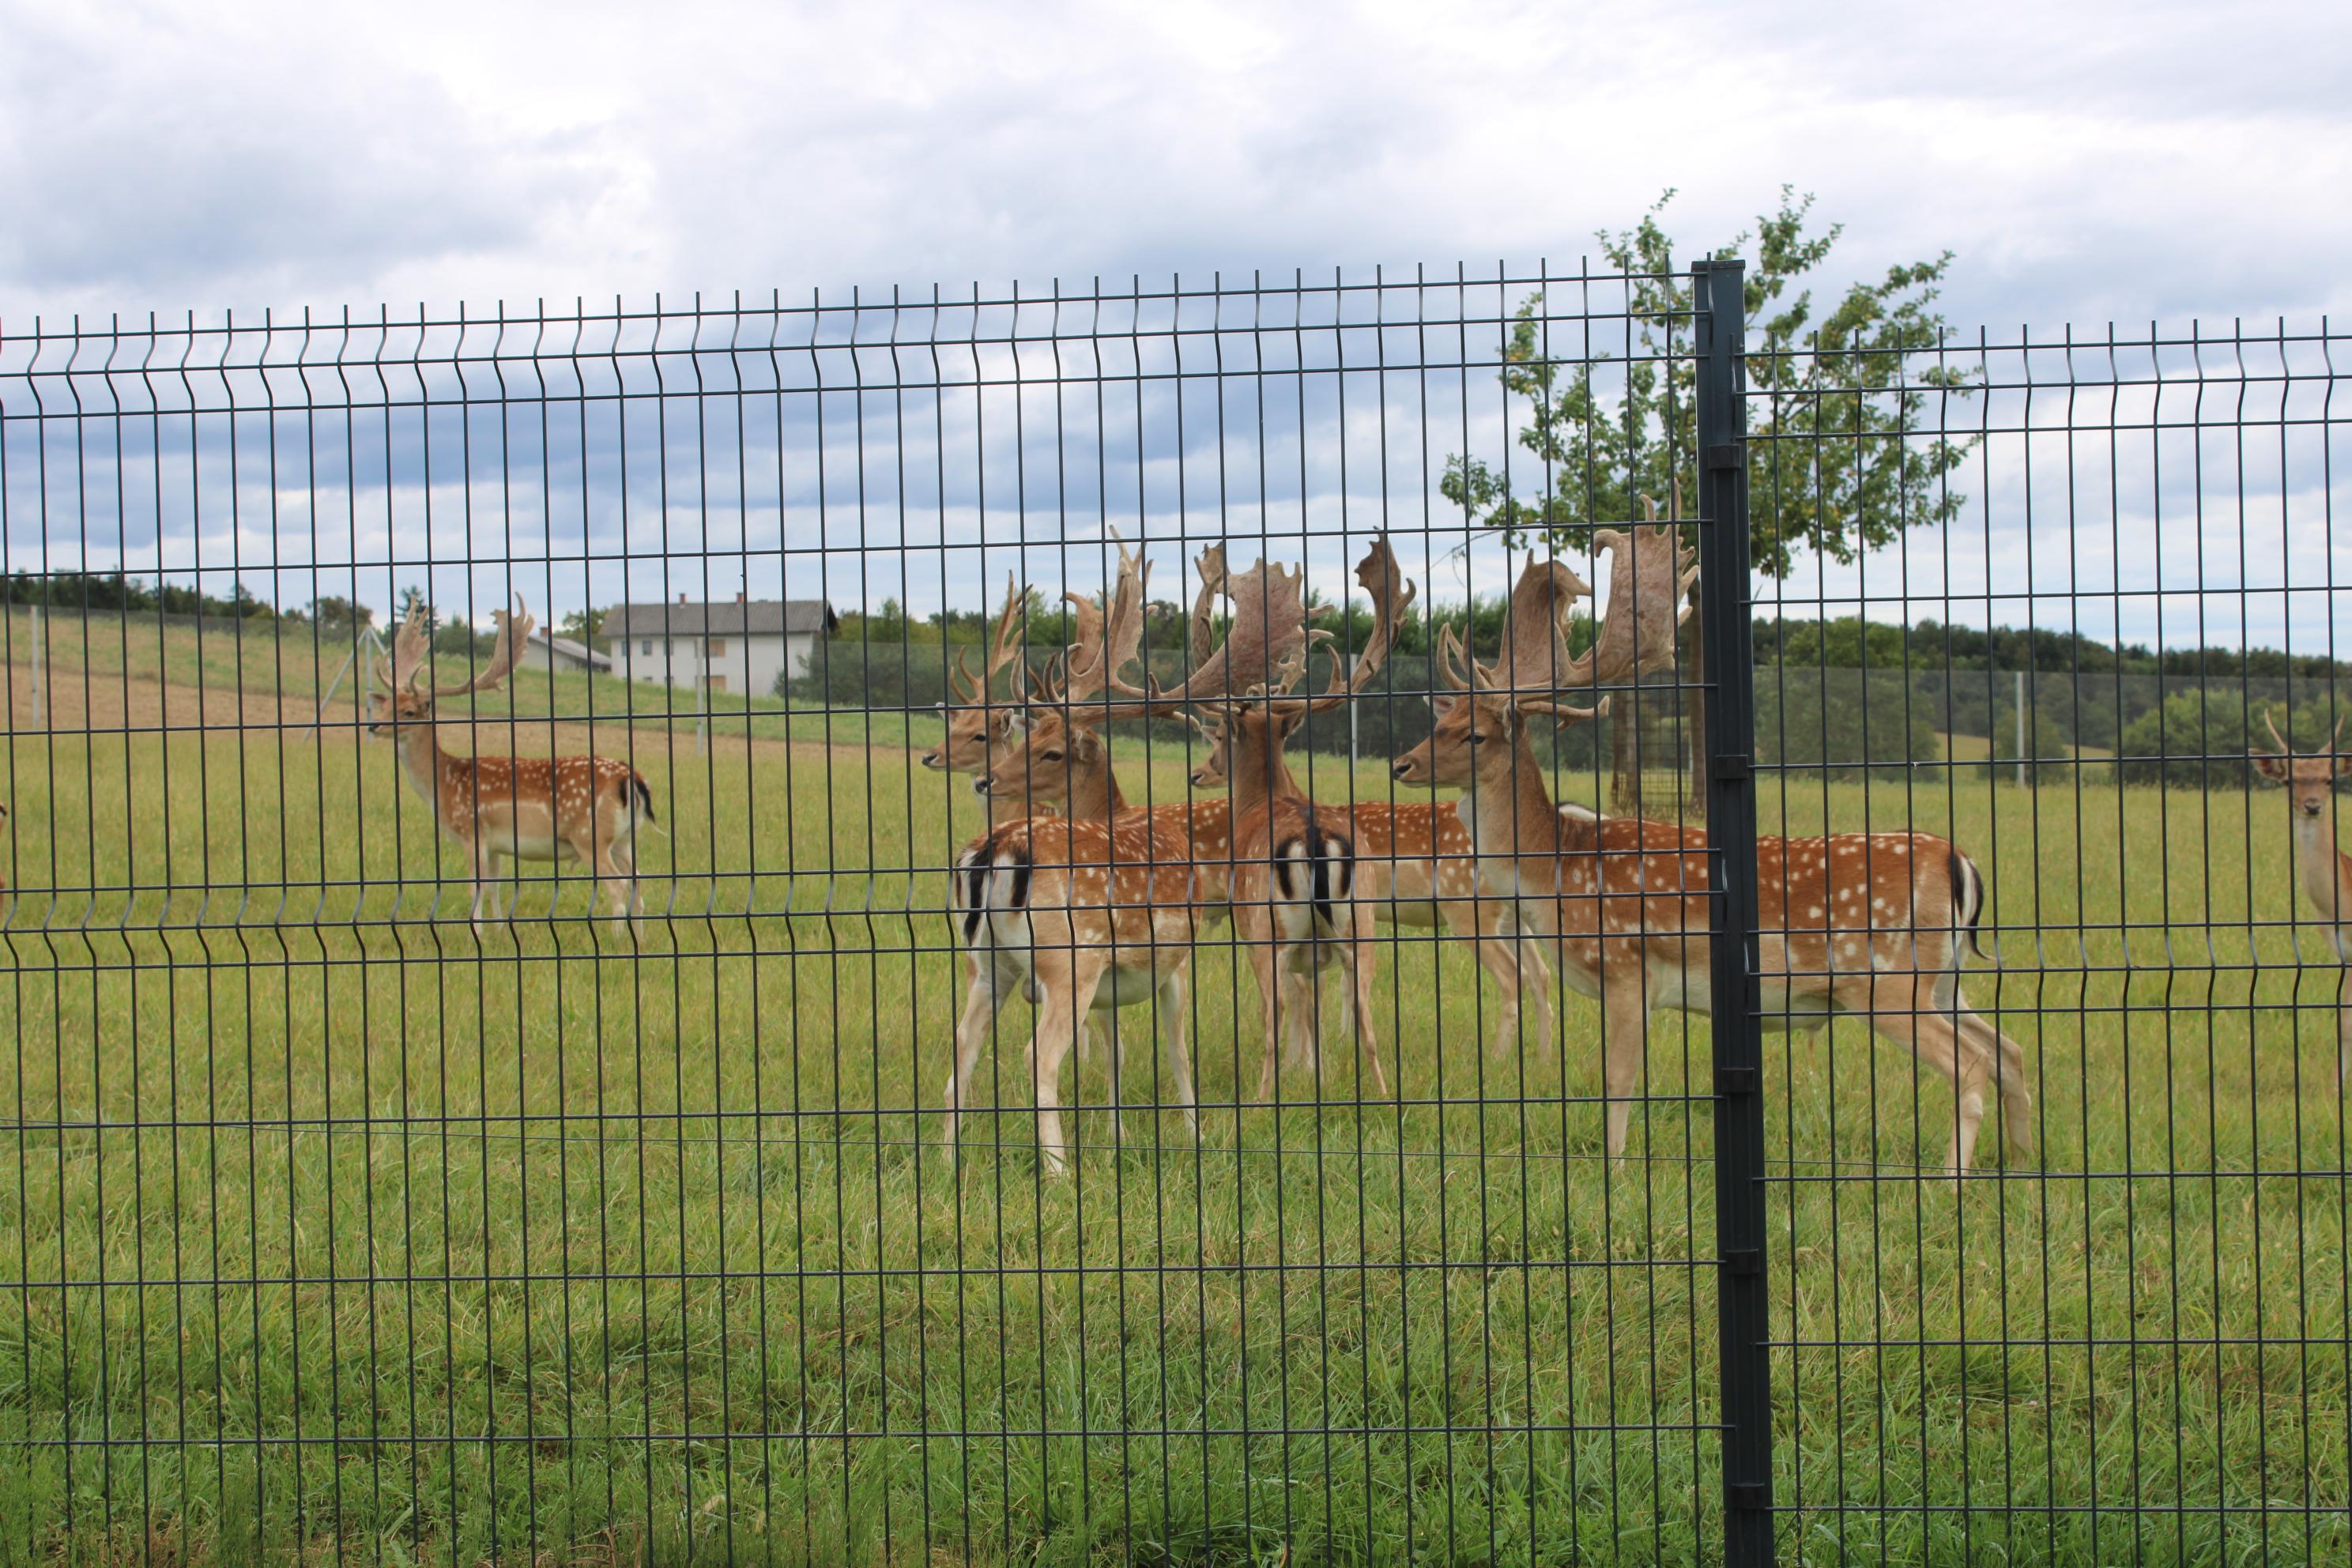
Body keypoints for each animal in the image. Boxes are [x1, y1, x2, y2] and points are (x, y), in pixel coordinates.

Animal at [369, 595, 657, 941]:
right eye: (386, 705)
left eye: (409, 711)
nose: (373, 726)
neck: (444, 784)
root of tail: (629, 777)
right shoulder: (495, 844)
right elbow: (495, 886)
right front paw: (498, 931)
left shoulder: (472, 831)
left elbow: (475, 887)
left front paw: (476, 934)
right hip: (624, 838)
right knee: (638, 882)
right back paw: (640, 939)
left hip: (590, 835)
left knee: (618, 885)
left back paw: (615, 939)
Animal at [1388, 538, 2031, 1178]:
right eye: (1440, 720)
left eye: (1474, 735)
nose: (1401, 764)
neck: (1554, 871)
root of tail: (1960, 864)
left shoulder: (1628, 968)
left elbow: (1618, 1080)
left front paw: (1616, 1171)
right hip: (1944, 980)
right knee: (2009, 1048)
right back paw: (2023, 1162)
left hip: (1888, 979)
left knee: (1972, 1063)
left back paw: (1950, 1181)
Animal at [2253, 711, 2352, 1087]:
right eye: (2288, 781)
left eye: (2329, 780)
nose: (2313, 806)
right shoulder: (2341, 953)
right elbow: (2343, 1019)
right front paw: (2337, 1086)